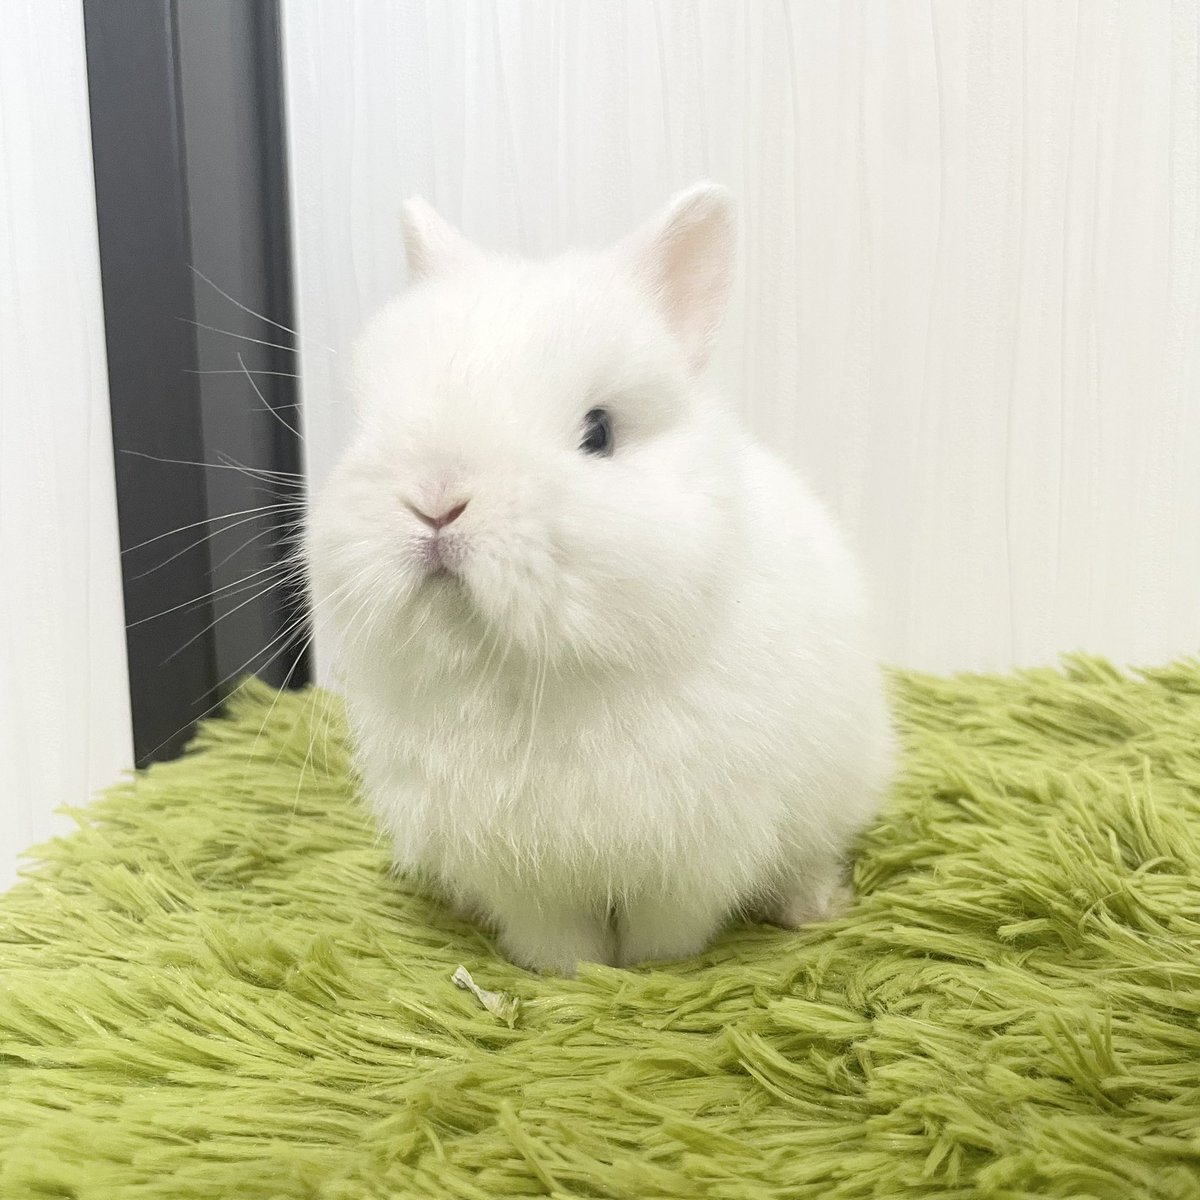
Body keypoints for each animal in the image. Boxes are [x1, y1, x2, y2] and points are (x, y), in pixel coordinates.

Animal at [305, 183, 894, 975]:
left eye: (599, 433)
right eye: (372, 419)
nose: (435, 499)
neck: (523, 676)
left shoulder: (692, 857)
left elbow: (665, 930)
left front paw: (647, 973)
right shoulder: (521, 875)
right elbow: (555, 937)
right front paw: (567, 976)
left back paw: (813, 908)